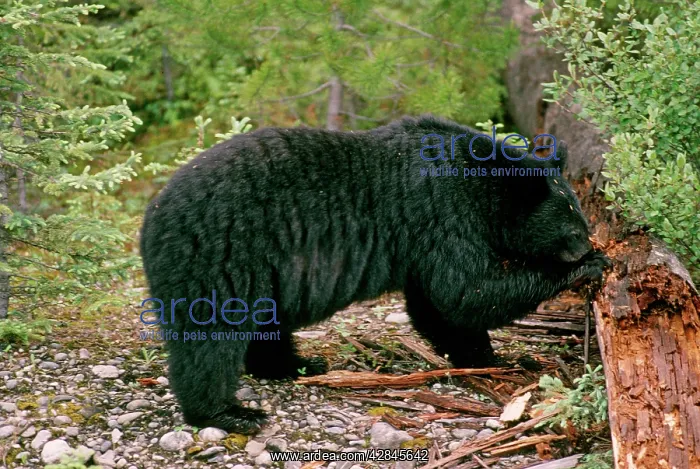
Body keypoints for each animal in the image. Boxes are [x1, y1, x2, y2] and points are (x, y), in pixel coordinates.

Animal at [140, 114, 610, 434]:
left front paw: (481, 355)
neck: (482, 183)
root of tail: (152, 220)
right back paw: (228, 412)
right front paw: (584, 268)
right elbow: (465, 292)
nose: (586, 243)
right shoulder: (443, 215)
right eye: (572, 222)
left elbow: (438, 307)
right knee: (211, 340)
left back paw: (297, 364)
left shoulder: (425, 242)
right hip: (223, 258)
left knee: (265, 326)